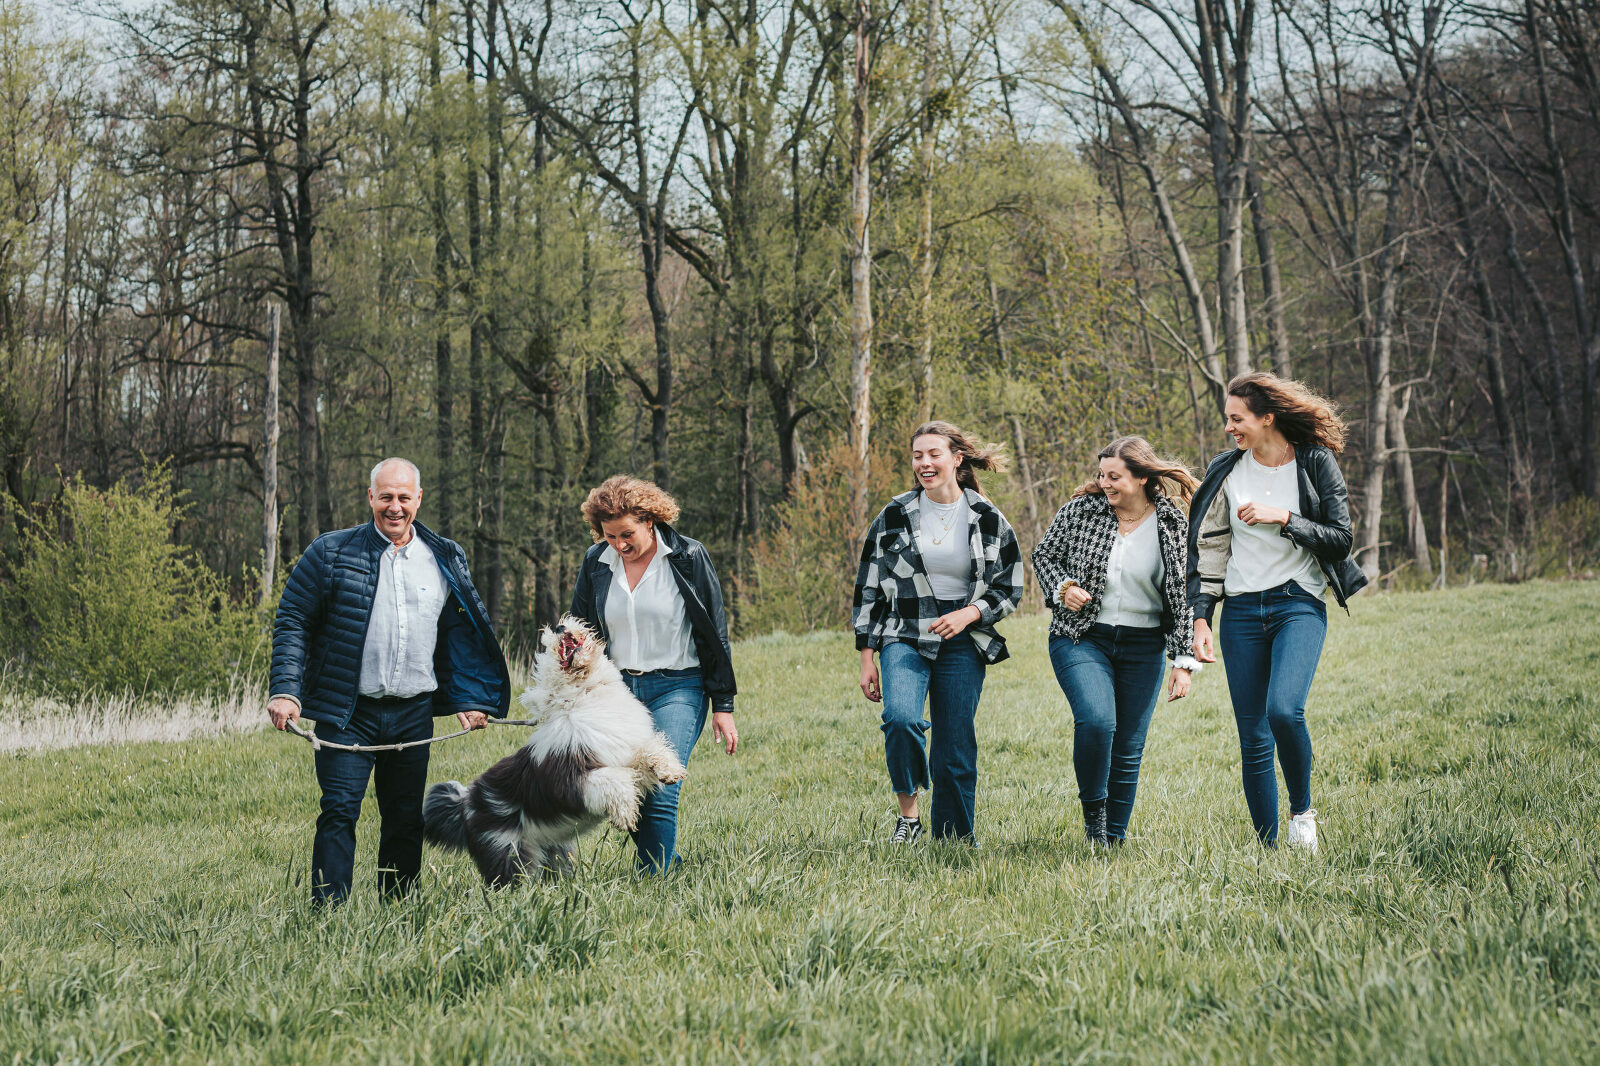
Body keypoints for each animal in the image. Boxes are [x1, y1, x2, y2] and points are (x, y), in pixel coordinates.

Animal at [422, 611, 684, 883]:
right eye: (548, 649)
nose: (559, 627)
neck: (584, 694)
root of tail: (465, 804)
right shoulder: (572, 776)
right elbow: (613, 779)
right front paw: (625, 814)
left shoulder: (625, 749)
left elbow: (648, 751)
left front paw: (670, 769)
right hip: (508, 850)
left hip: (556, 849)